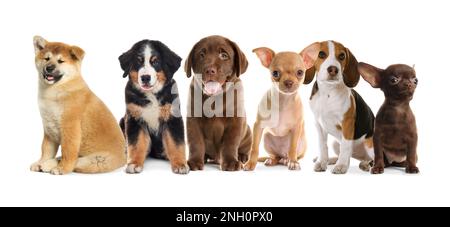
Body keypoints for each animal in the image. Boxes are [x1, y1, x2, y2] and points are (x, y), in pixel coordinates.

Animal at [31, 35, 126, 175]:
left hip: (96, 160)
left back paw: (53, 166)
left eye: (60, 61)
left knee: (76, 161)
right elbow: (46, 150)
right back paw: (46, 164)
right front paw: (41, 162)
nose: (49, 68)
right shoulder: (49, 128)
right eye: (46, 58)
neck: (56, 91)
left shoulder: (70, 126)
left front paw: (62, 168)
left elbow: (68, 151)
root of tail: (125, 157)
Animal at [118, 39, 188, 174]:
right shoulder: (135, 118)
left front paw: (180, 164)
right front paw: (134, 163)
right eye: (138, 61)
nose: (145, 77)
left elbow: (176, 143)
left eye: (155, 62)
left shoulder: (173, 117)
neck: (151, 95)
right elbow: (136, 144)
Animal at [184, 35, 253, 170]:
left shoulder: (235, 120)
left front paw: (231, 162)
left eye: (224, 55)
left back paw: (242, 156)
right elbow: (195, 142)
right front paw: (195, 161)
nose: (210, 70)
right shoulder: (193, 119)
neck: (215, 99)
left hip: (248, 131)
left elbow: (230, 143)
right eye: (201, 55)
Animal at [300, 40, 374, 174]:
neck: (328, 92)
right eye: (321, 54)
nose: (333, 69)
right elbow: (322, 146)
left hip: (371, 144)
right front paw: (322, 161)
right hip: (335, 143)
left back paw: (365, 164)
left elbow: (345, 146)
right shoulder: (318, 124)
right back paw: (332, 160)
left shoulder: (347, 123)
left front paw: (341, 166)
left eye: (342, 56)